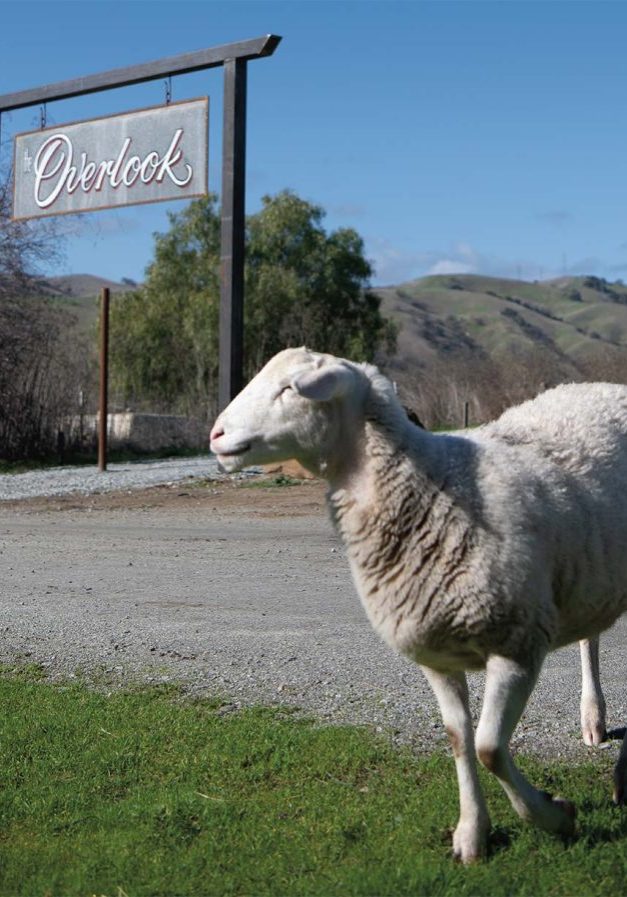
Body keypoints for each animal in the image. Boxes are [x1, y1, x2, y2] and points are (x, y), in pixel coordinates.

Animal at [210, 346, 627, 863]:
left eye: (291, 388)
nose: (216, 435)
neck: (432, 486)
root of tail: (607, 387)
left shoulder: (516, 643)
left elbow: (490, 747)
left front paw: (554, 816)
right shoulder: (437, 655)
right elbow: (459, 740)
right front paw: (471, 834)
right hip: (594, 575)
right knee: (590, 640)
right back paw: (594, 719)